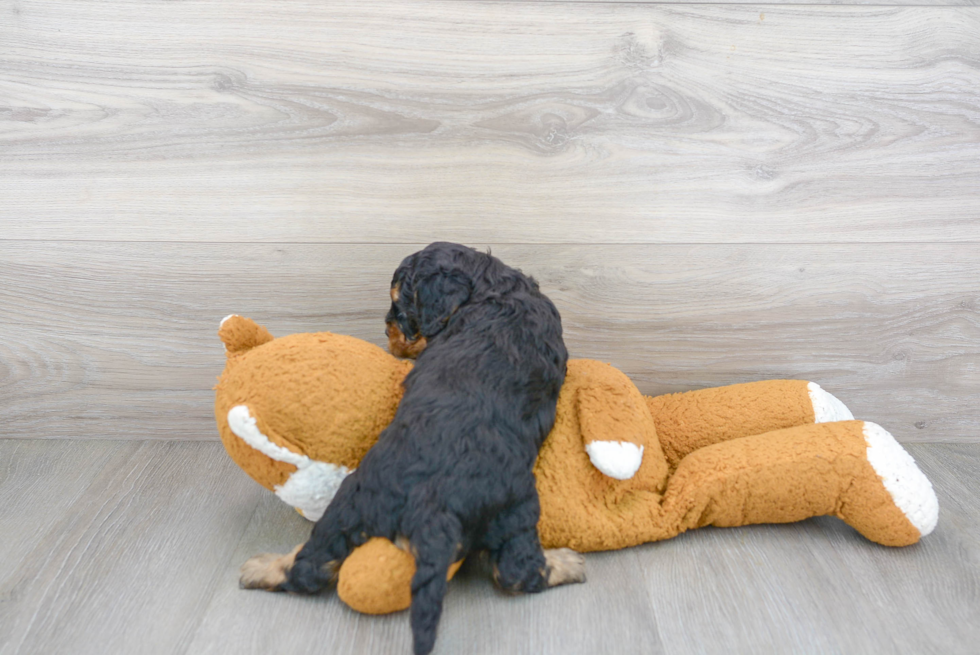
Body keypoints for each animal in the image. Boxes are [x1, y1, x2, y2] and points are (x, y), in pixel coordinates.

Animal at [242, 243, 584, 652]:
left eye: (400, 308)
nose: (387, 330)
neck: (491, 289)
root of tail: (431, 503)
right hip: (510, 510)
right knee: (515, 572)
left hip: (355, 504)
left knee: (311, 567)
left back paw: (263, 568)